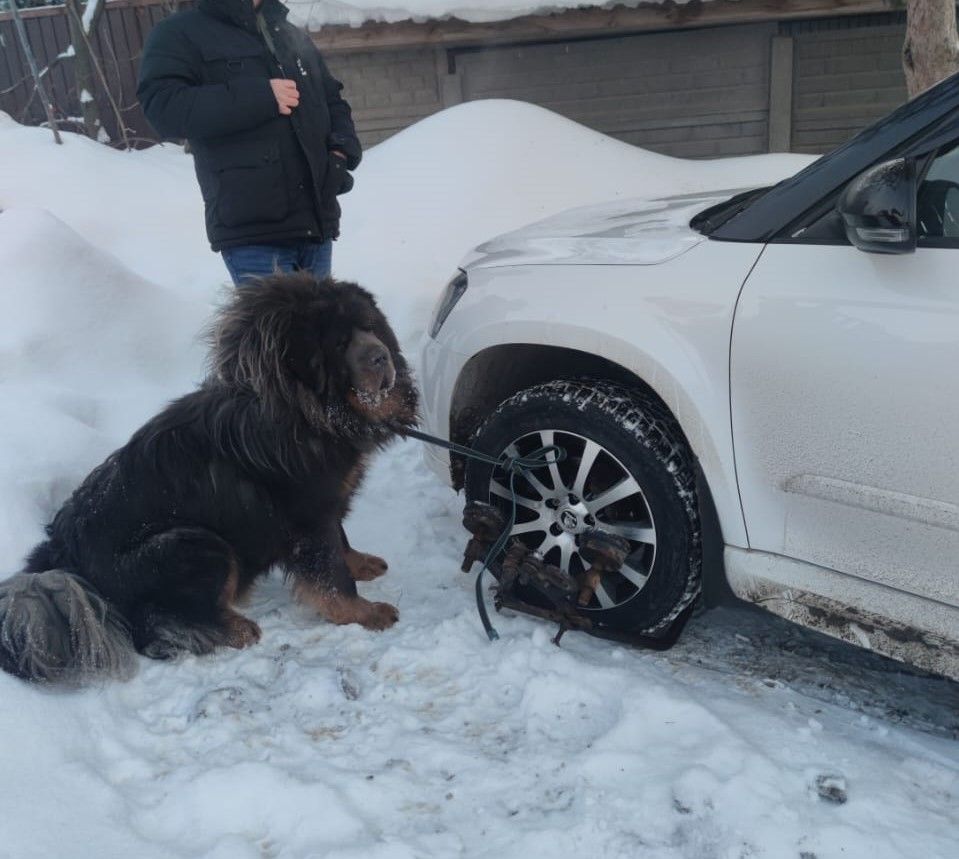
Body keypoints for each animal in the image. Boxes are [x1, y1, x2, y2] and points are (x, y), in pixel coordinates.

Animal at [0, 276, 420, 684]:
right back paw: (235, 629)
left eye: (370, 327)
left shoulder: (325, 503)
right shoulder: (307, 518)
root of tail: (62, 558)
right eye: (338, 344)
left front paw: (360, 563)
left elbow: (341, 542)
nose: (381, 356)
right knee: (153, 627)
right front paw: (364, 613)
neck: (305, 410)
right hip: (193, 543)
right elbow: (331, 575)